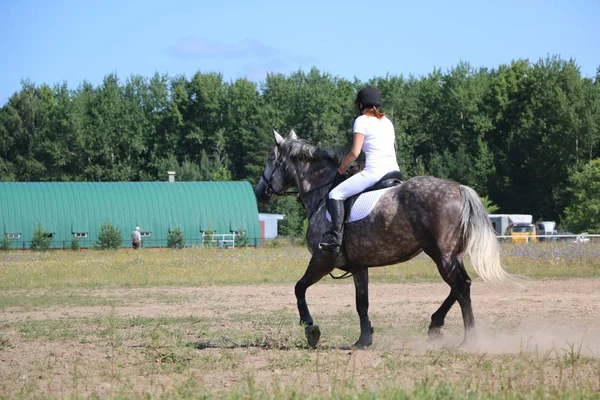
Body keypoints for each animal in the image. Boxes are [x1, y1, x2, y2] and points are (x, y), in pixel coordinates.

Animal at [253, 130, 510, 348]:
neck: (322, 194)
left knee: (460, 287)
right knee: (460, 286)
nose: (259, 192)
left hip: (441, 255)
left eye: (270, 159)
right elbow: (362, 302)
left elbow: (299, 288)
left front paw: (311, 328)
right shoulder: (358, 266)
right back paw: (436, 324)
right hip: (452, 255)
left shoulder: (322, 259)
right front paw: (363, 340)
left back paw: (469, 340)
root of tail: (459, 189)